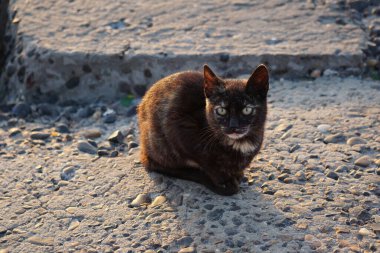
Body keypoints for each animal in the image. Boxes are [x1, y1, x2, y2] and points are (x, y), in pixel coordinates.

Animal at [138, 64, 268, 195]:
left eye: (247, 110)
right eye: (221, 110)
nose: (233, 126)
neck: (241, 143)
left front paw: (237, 175)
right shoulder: (179, 129)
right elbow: (209, 164)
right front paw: (224, 181)